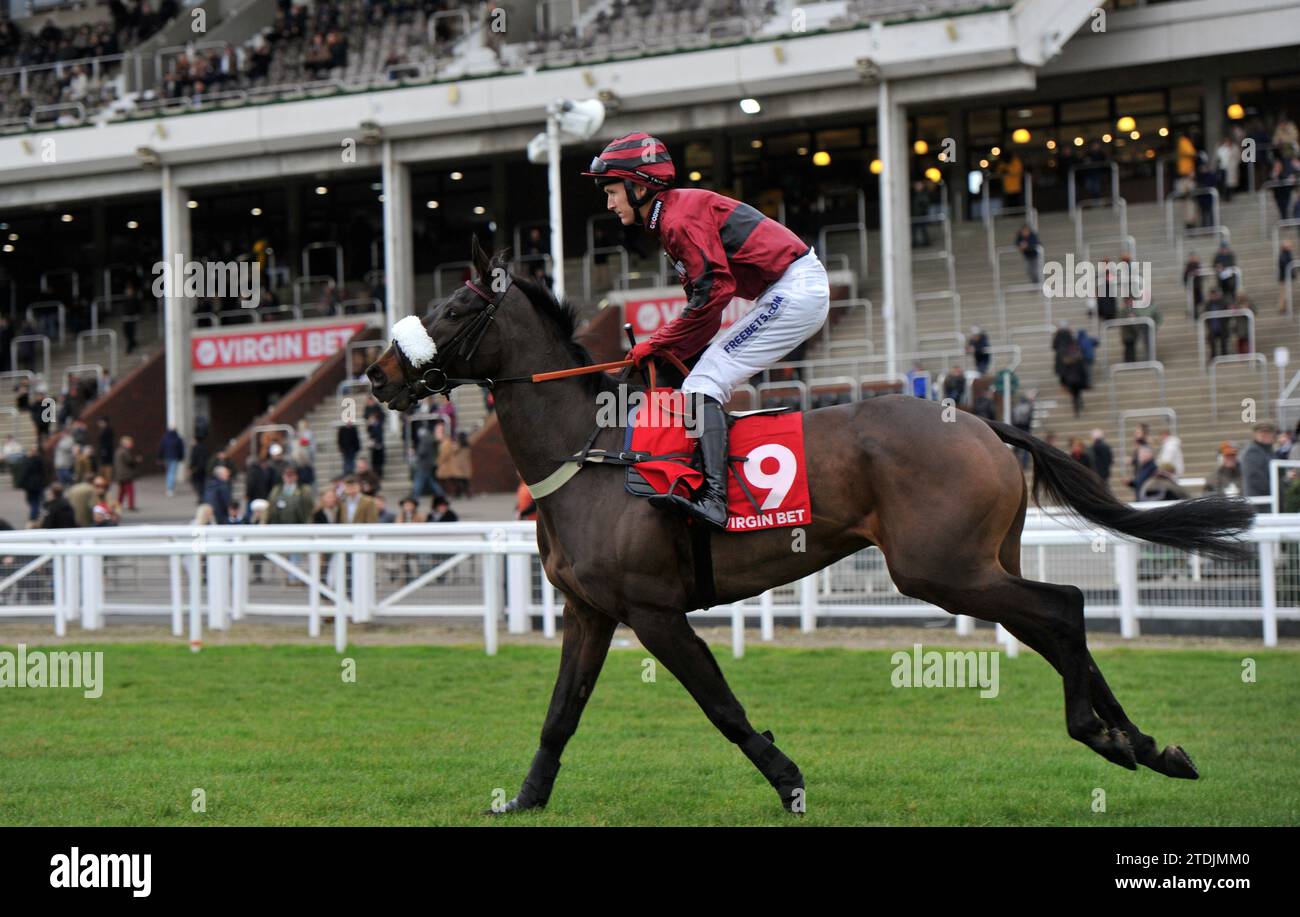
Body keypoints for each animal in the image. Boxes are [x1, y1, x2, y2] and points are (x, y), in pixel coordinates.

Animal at [364, 239, 1248, 811]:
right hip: (981, 561)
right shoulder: (590, 610)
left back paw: (1110, 737)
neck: (593, 453)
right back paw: (1143, 744)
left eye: (453, 308)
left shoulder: (652, 609)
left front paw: (787, 776)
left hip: (941, 568)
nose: (377, 373)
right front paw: (523, 797)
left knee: (1064, 607)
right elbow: (560, 713)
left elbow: (720, 706)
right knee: (1059, 621)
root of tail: (981, 421)